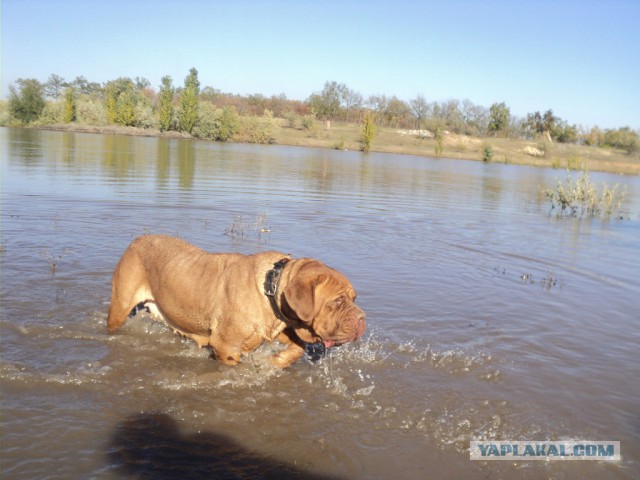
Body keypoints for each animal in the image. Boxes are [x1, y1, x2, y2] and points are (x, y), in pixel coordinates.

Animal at [105, 235, 364, 368]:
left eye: (353, 298)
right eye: (337, 300)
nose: (362, 318)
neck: (271, 288)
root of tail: (137, 239)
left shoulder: (279, 328)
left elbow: (298, 348)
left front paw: (277, 361)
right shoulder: (226, 345)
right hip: (120, 305)